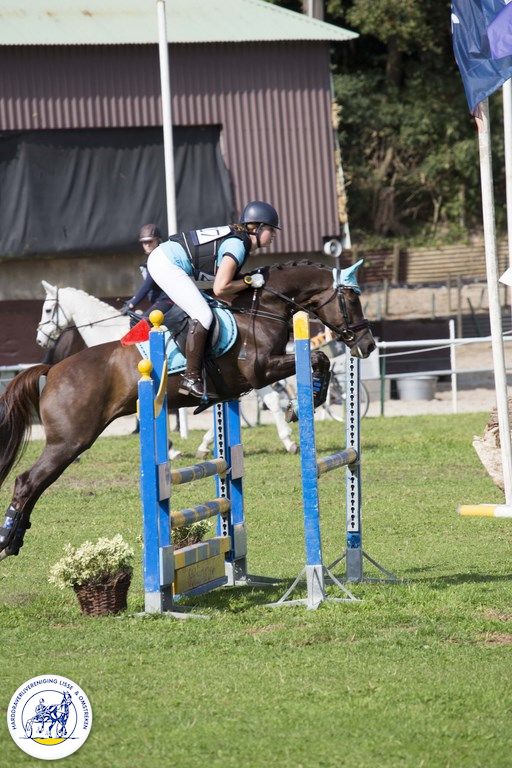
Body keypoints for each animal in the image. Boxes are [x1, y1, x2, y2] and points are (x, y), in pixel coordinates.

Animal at [0, 261, 375, 563]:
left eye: (48, 310)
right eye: (351, 300)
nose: (368, 345)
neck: (261, 310)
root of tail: (53, 370)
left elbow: (317, 363)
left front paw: (305, 403)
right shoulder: (261, 370)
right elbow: (318, 358)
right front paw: (304, 404)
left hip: (70, 442)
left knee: (35, 483)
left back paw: (14, 539)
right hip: (70, 441)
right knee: (27, 481)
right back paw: (6, 541)